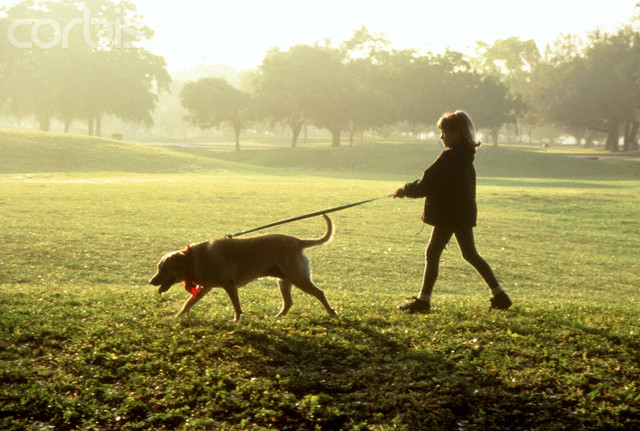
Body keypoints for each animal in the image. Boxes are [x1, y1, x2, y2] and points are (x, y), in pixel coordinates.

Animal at [149, 214, 338, 322]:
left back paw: (331, 312)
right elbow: (188, 303)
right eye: (159, 267)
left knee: (320, 293)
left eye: (164, 268)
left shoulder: (229, 284)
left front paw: (237, 320)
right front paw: (178, 316)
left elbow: (236, 305)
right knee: (288, 302)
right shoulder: (205, 288)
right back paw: (278, 317)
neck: (191, 259)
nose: (151, 281)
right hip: (284, 281)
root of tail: (299, 242)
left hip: (298, 277)